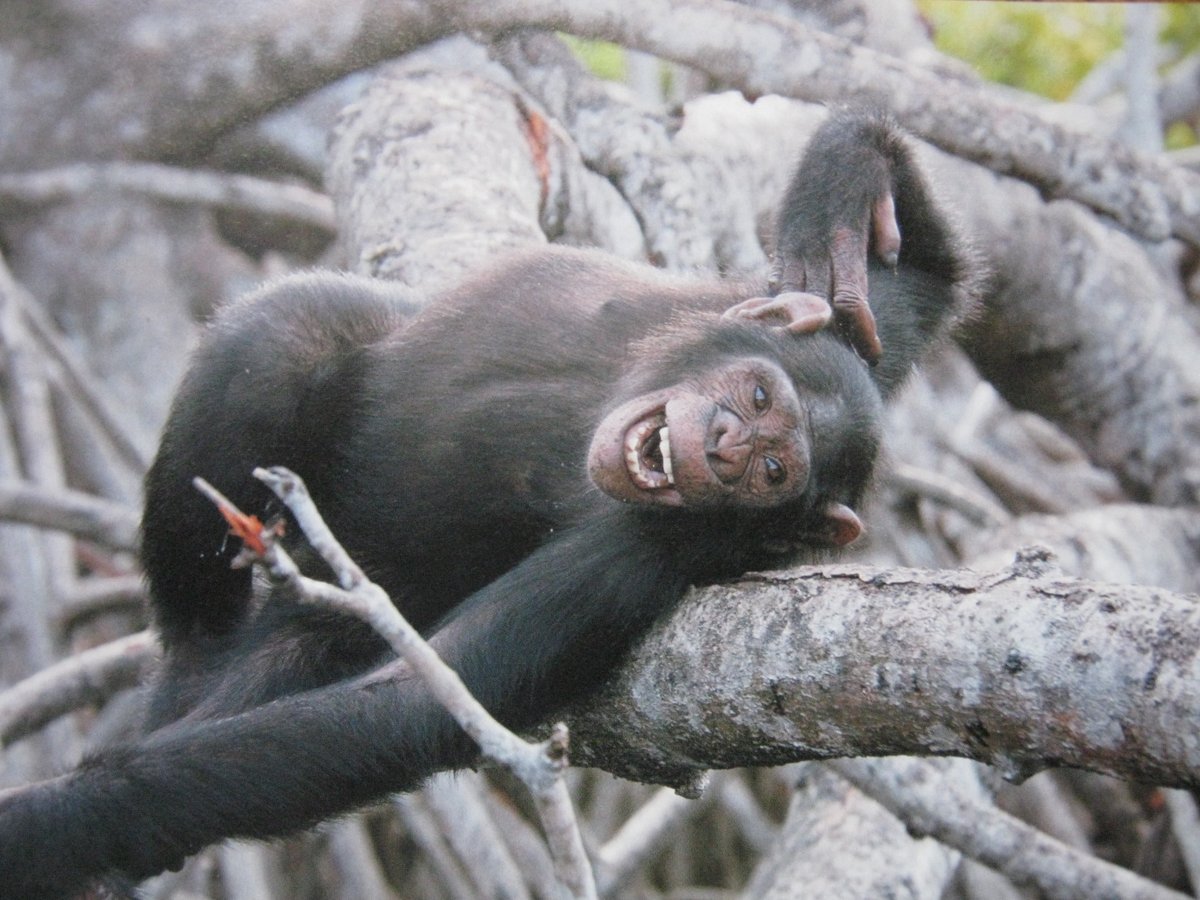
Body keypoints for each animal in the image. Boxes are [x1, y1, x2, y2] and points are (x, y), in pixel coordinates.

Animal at [0, 111, 972, 899]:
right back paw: (186, 651)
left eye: (776, 473)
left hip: (331, 609)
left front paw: (51, 824)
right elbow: (901, 285)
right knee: (281, 335)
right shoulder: (833, 329)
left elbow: (418, 700)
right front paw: (846, 186)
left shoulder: (629, 568)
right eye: (763, 397)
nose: (728, 447)